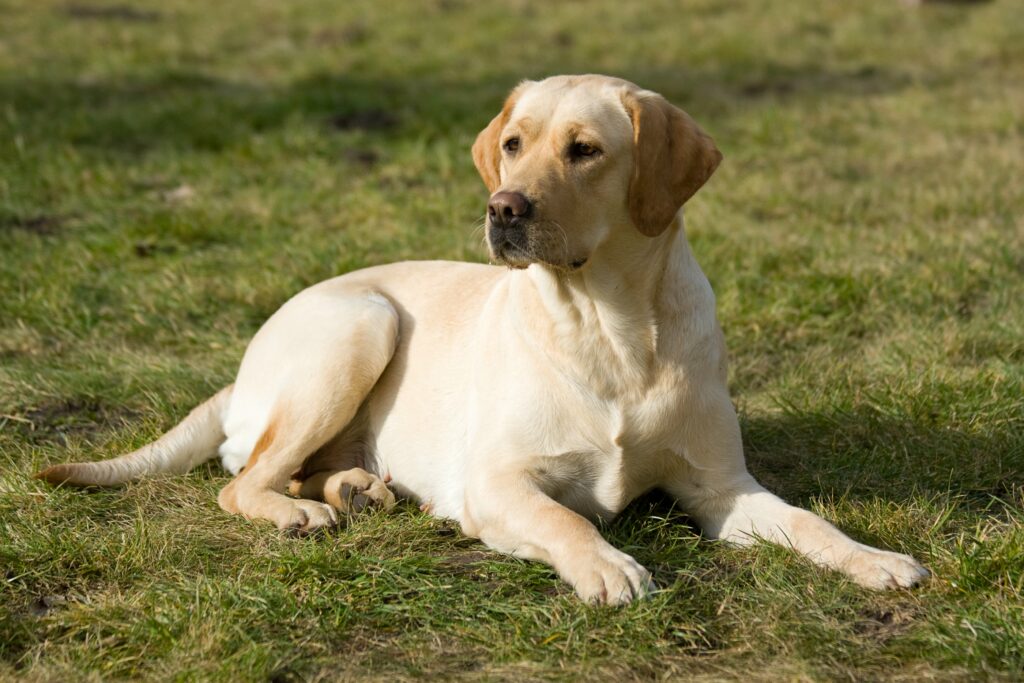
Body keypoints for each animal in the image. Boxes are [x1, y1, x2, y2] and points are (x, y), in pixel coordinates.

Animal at [37, 76, 929, 602]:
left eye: (585, 150)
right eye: (513, 142)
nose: (504, 208)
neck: (608, 326)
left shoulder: (721, 487)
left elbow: (809, 522)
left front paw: (875, 557)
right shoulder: (498, 483)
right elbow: (568, 521)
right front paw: (608, 566)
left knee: (287, 468)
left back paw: (353, 489)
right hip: (365, 321)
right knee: (243, 479)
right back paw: (303, 513)